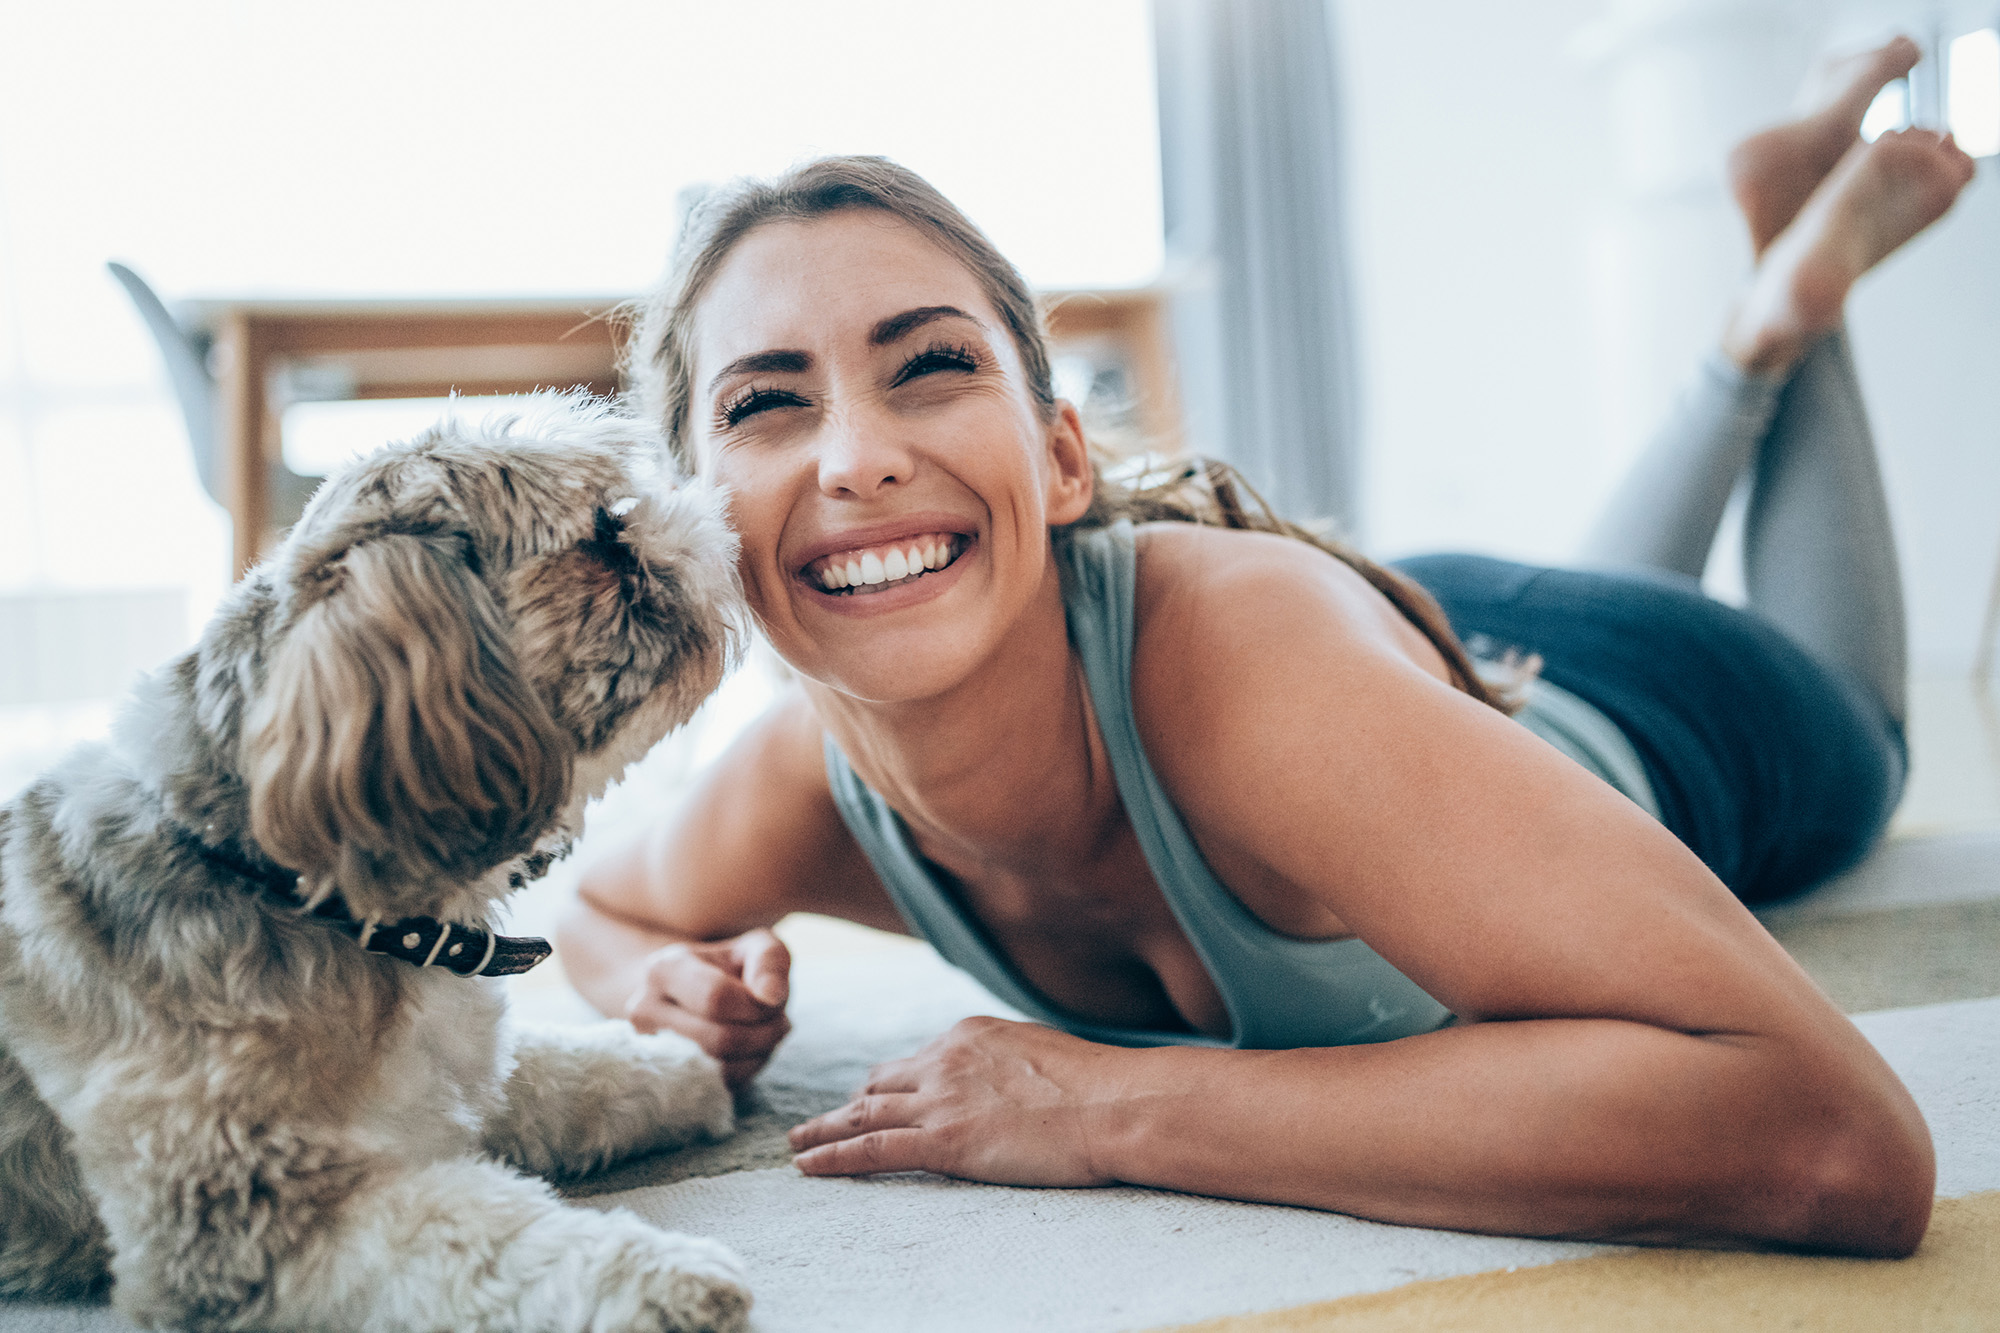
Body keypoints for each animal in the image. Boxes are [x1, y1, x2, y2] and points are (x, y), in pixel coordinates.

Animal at [0, 396, 752, 1328]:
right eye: (604, 532)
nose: (707, 523)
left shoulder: (464, 1077)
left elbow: (563, 1068)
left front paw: (680, 1069)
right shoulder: (249, 1220)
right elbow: (483, 1238)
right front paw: (661, 1277)